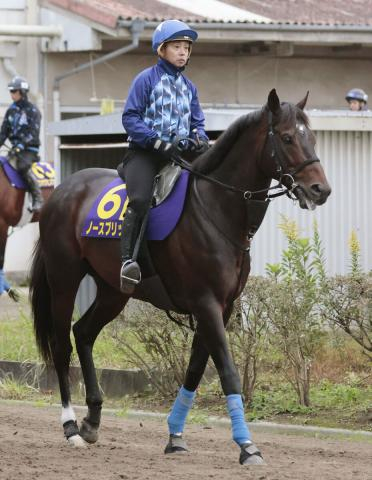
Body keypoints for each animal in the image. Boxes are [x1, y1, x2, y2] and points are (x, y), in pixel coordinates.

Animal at [29, 90, 332, 464]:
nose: (320, 189)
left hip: (114, 290)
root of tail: (61, 192)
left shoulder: (222, 308)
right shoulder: (206, 304)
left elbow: (195, 369)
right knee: (61, 346)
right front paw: (247, 446)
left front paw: (175, 435)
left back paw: (92, 420)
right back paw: (71, 426)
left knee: (83, 333)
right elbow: (228, 372)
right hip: (64, 279)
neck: (216, 209)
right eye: (288, 137)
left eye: (312, 137)